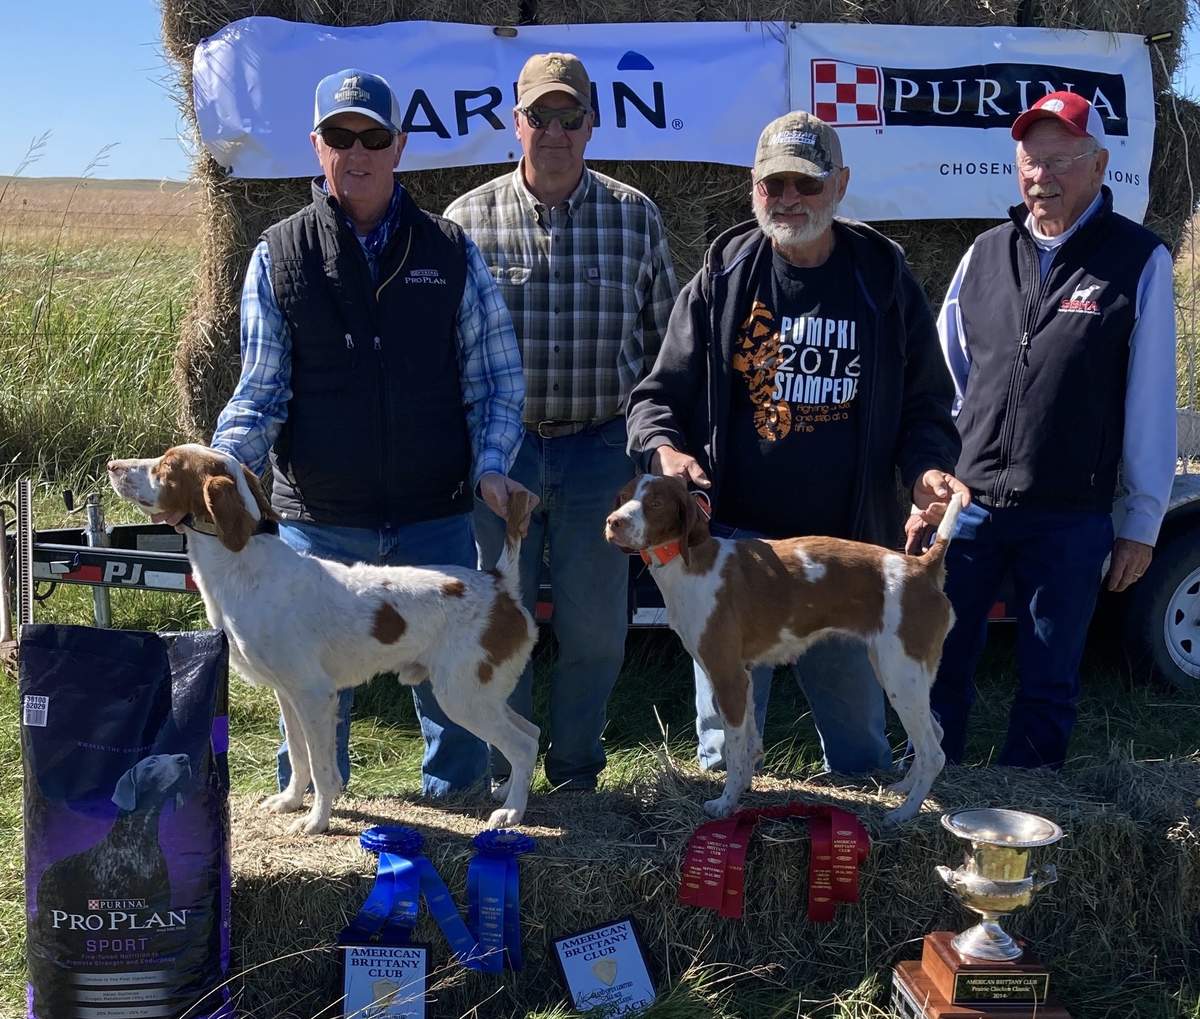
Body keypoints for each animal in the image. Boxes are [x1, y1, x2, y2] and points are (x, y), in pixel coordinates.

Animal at [108, 446, 540, 835]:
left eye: (166, 467)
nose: (113, 465)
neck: (243, 566)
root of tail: (500, 585)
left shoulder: (314, 694)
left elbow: (320, 767)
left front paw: (316, 821)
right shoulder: (287, 692)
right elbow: (299, 758)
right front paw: (289, 801)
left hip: (462, 696)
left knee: (521, 745)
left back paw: (512, 813)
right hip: (482, 694)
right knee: (532, 732)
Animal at [604, 472, 960, 820]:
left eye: (655, 502)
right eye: (623, 497)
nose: (613, 522)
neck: (688, 564)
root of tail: (922, 566)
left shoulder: (728, 677)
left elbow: (734, 751)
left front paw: (726, 803)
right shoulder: (744, 676)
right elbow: (749, 745)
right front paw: (744, 788)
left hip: (901, 675)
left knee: (934, 753)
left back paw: (905, 812)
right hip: (903, 675)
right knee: (936, 734)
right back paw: (903, 788)